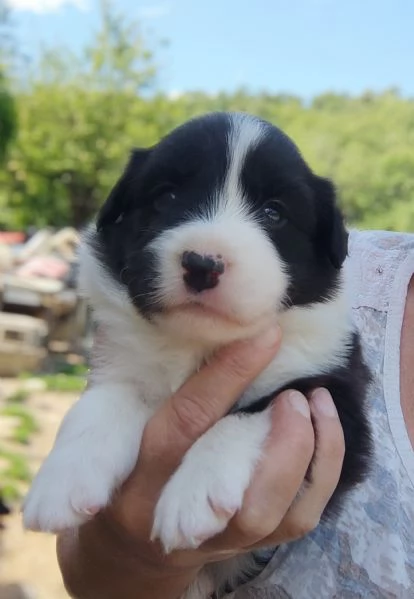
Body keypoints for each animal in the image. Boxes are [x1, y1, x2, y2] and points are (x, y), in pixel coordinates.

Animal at [22, 112, 372, 599]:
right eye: (166, 196)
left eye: (274, 212)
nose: (203, 263)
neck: (200, 344)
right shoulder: (124, 361)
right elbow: (101, 404)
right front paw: (63, 479)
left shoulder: (339, 403)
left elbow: (262, 407)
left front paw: (194, 492)